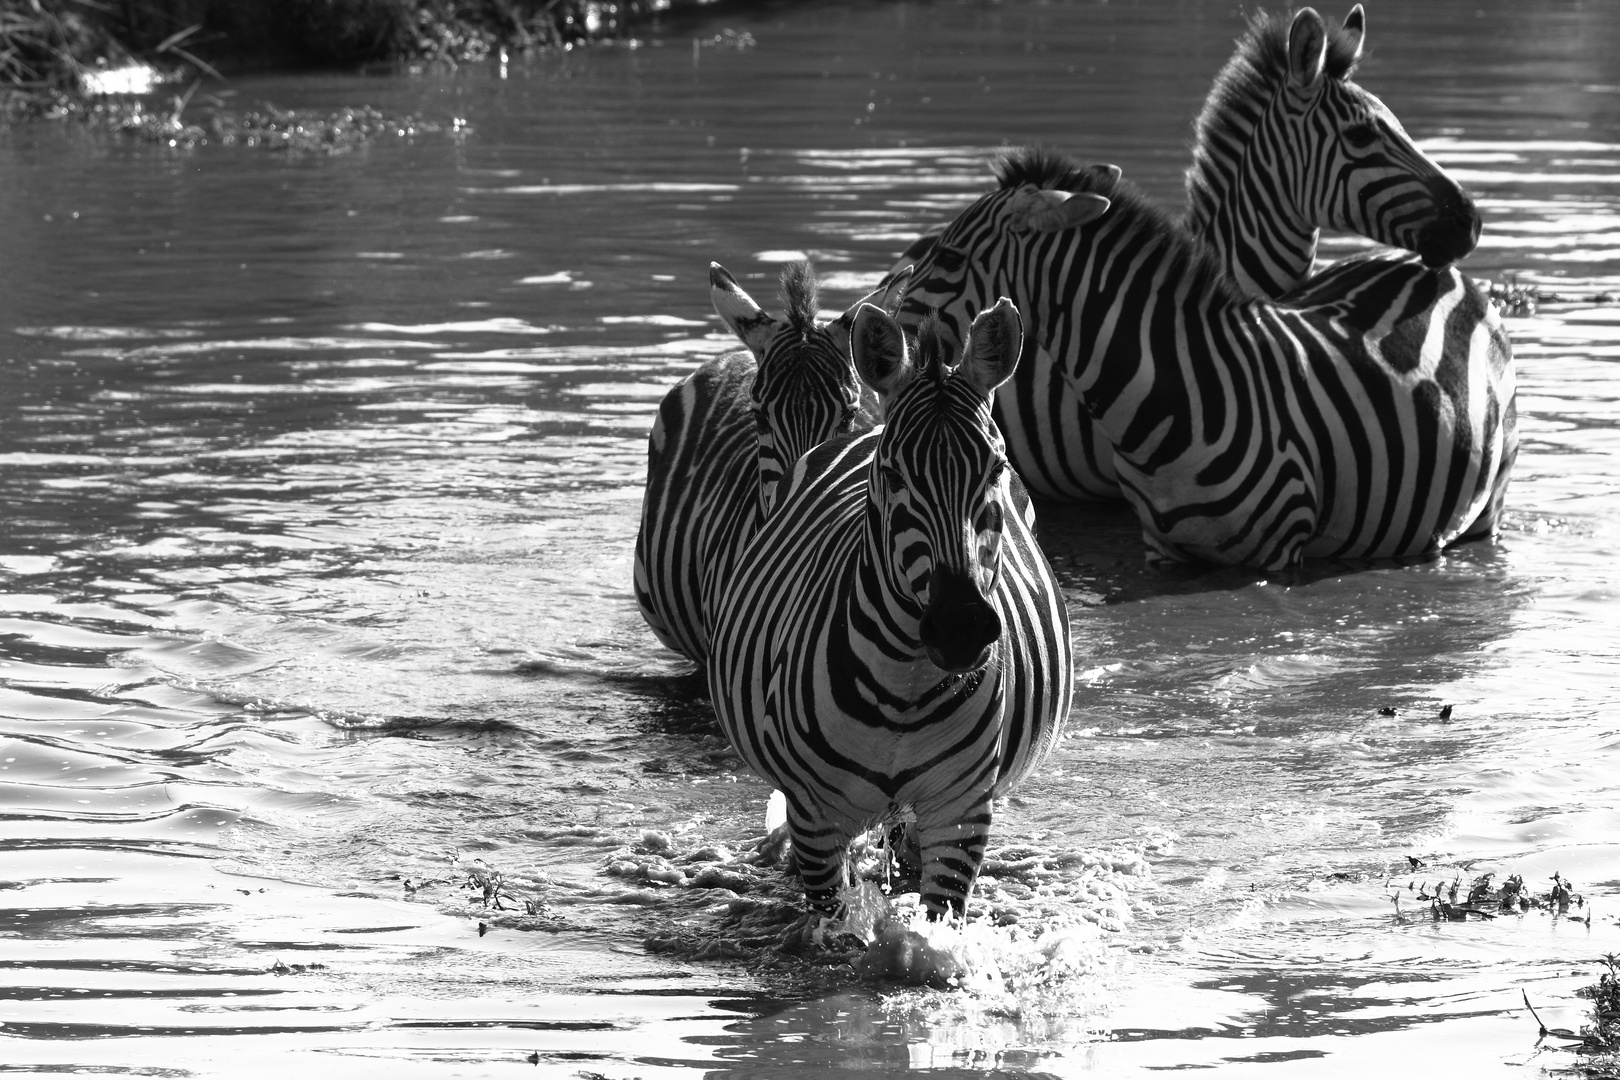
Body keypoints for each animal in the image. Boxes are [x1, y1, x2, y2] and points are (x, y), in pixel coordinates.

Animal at [712, 302, 1075, 919]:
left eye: (996, 468)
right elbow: (832, 925)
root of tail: (868, 426)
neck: (905, 685)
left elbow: (939, 922)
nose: (960, 626)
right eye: (893, 474)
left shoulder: (961, 812)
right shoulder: (816, 817)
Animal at [900, 152, 1516, 573]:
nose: (893, 327)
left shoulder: (1279, 557)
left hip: (1489, 506)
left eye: (949, 257)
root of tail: (1442, 269)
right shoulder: (1163, 554)